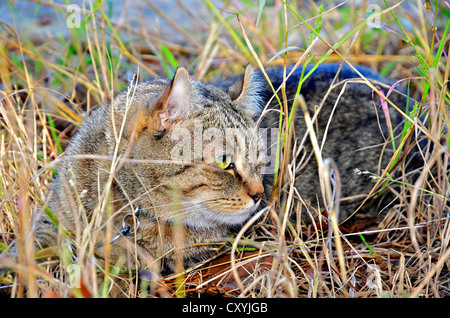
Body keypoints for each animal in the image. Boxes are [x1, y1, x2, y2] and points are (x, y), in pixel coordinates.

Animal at [34, 63, 408, 274]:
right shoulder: (52, 215)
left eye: (260, 158)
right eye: (225, 163)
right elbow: (35, 245)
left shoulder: (186, 255)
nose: (260, 195)